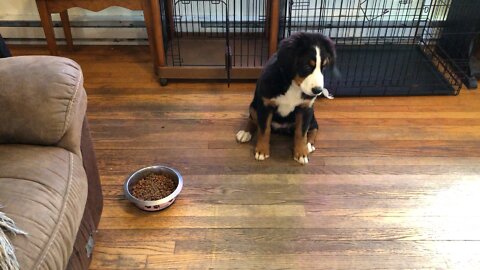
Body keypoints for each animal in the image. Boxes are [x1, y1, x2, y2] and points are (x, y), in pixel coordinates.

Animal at [234, 31, 336, 165]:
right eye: (306, 66)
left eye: (323, 68)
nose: (318, 90)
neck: (292, 83)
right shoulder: (265, 105)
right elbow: (264, 129)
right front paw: (262, 151)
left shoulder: (305, 108)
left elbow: (301, 132)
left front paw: (301, 153)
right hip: (254, 105)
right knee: (253, 119)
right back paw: (245, 132)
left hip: (311, 114)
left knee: (314, 127)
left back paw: (308, 144)